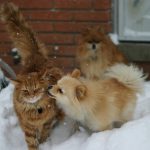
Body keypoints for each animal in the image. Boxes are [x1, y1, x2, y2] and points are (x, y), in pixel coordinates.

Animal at [0, 2, 63, 150]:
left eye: (36, 89)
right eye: (25, 91)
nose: (32, 95)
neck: (35, 110)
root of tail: (35, 56)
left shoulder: (47, 121)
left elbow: (45, 131)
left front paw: (44, 142)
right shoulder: (27, 126)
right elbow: (32, 142)